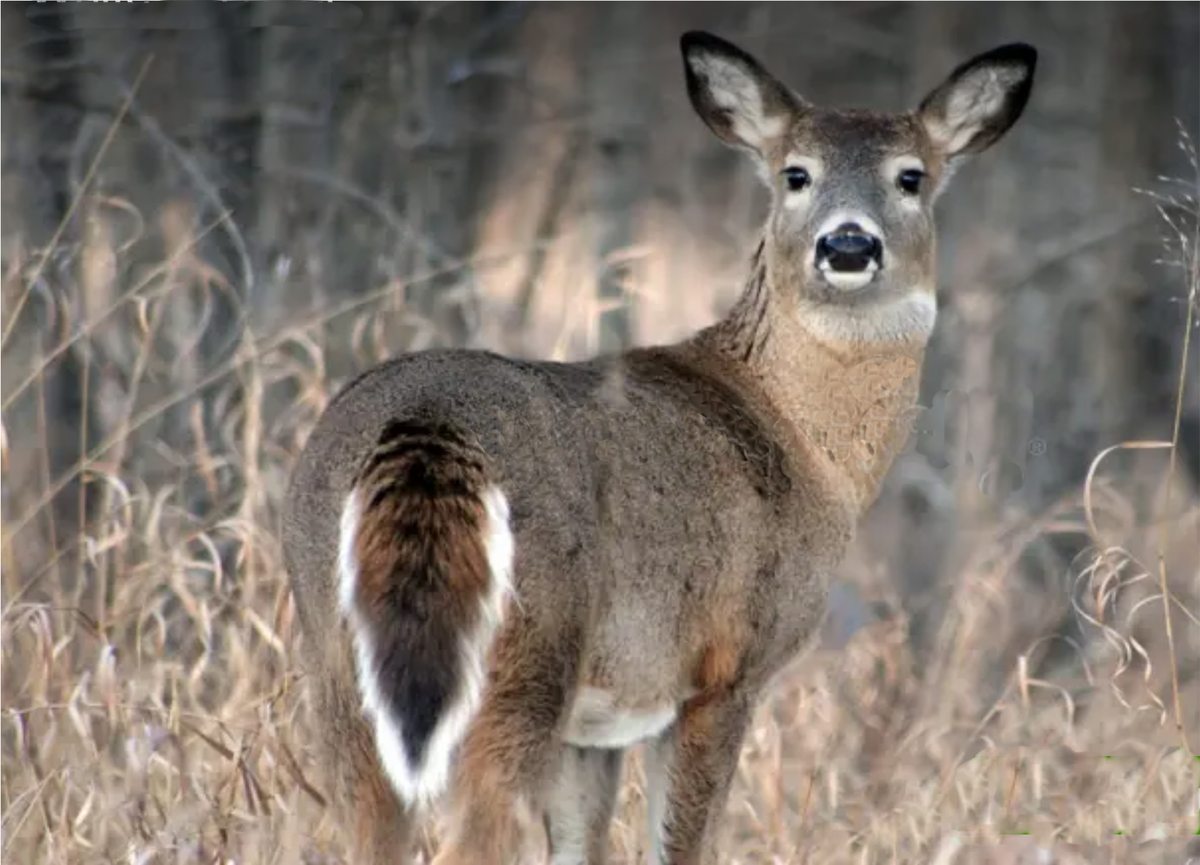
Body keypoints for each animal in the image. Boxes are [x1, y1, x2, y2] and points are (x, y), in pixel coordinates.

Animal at [282, 30, 1037, 865]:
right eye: (795, 173)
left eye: (911, 176)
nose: (847, 243)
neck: (808, 445)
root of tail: (427, 423)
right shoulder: (727, 665)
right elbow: (683, 842)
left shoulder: (596, 727)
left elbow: (582, 848)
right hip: (525, 655)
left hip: (332, 653)